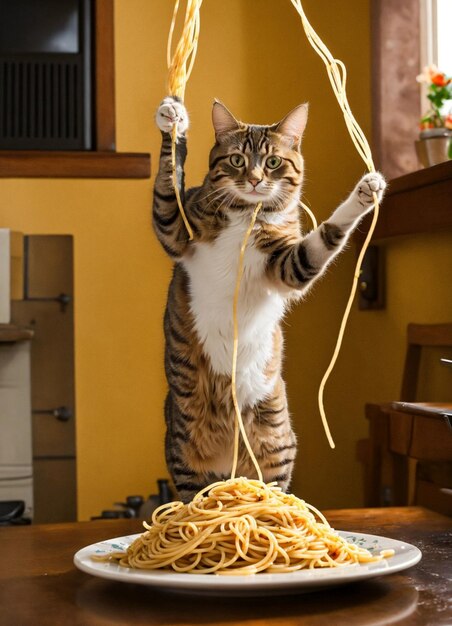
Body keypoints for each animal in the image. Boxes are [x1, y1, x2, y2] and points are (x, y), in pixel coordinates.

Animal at [153, 95, 384, 500]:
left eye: (273, 162)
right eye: (236, 160)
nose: (255, 179)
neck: (245, 214)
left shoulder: (289, 264)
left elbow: (326, 235)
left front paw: (365, 193)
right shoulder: (174, 227)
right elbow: (168, 180)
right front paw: (172, 117)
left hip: (274, 437)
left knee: (274, 487)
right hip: (185, 443)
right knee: (189, 493)